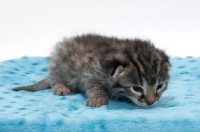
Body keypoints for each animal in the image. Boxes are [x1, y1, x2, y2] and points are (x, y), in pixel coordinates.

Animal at [12, 34, 170, 107]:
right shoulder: (88, 73)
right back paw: (60, 86)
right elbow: (94, 85)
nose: (151, 102)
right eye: (137, 88)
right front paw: (98, 97)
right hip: (60, 63)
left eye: (160, 86)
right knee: (54, 79)